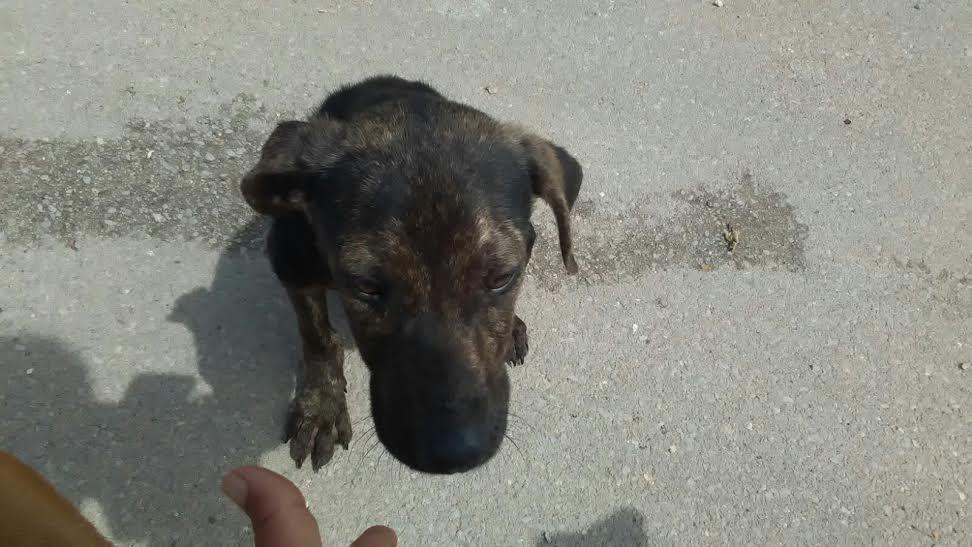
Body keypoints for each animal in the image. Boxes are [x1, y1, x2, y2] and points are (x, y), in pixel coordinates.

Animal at [239, 76, 580, 476]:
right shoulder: (290, 261)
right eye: (366, 286)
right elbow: (317, 336)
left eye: (501, 277)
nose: (454, 453)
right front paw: (321, 406)